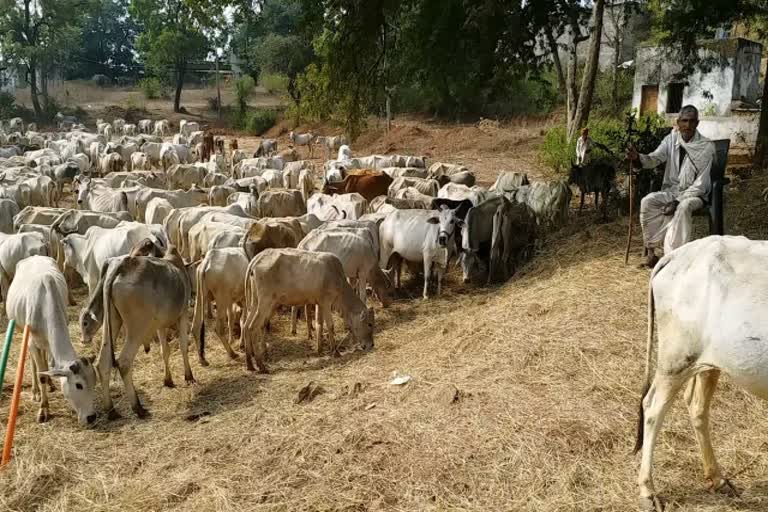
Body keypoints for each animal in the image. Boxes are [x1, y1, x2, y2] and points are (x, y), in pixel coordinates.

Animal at [240, 249, 372, 372]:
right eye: (370, 324)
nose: (371, 345)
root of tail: (256, 259)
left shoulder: (320, 303)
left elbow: (320, 324)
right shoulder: (326, 302)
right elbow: (330, 326)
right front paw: (335, 352)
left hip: (255, 303)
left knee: (246, 326)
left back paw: (250, 364)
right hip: (265, 302)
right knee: (253, 327)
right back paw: (261, 365)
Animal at [636, 237, 768, 512]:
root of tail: (676, 255)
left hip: (707, 363)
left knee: (696, 406)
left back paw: (716, 478)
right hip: (676, 358)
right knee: (653, 409)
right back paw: (647, 491)